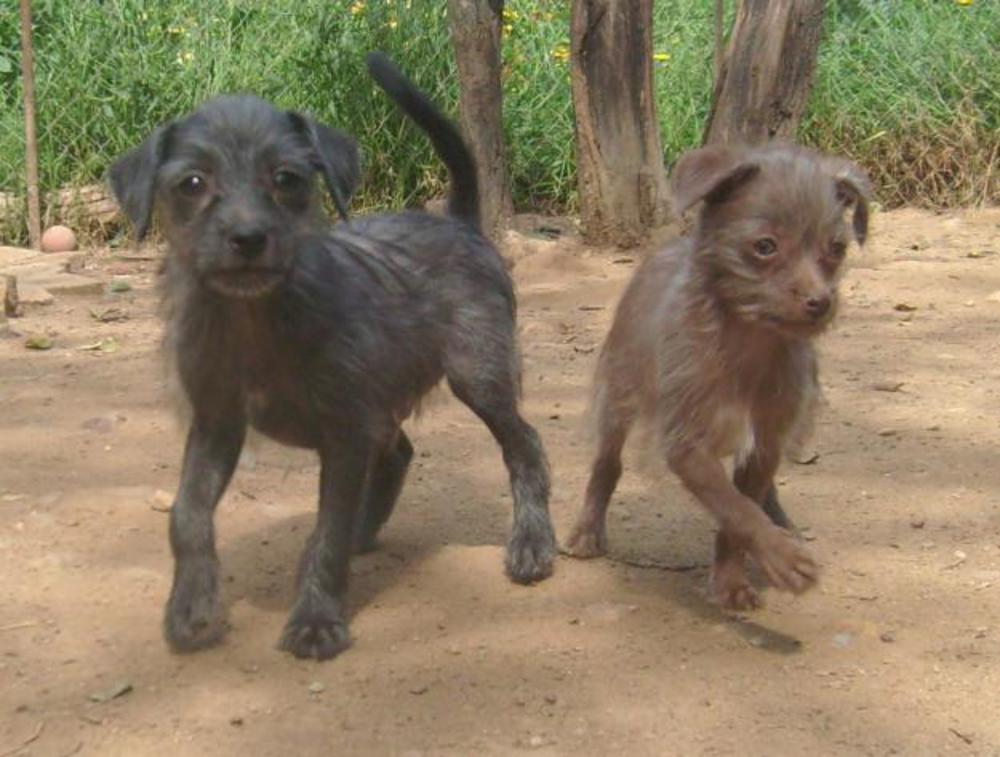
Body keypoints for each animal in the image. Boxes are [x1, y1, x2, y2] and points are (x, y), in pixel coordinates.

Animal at [115, 53, 564, 660]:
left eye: (286, 178)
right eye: (192, 183)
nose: (248, 238)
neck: (257, 316)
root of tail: (457, 221)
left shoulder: (345, 432)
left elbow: (323, 533)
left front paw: (316, 620)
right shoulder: (217, 422)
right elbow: (186, 515)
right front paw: (191, 607)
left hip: (478, 373)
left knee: (525, 445)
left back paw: (532, 544)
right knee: (399, 451)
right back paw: (364, 531)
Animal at [568, 143, 872, 608]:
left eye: (836, 249)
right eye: (764, 246)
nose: (820, 302)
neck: (749, 340)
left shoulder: (765, 441)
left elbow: (741, 508)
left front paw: (733, 578)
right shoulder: (686, 443)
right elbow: (735, 508)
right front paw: (780, 557)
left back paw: (783, 522)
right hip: (618, 392)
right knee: (607, 462)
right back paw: (587, 531)